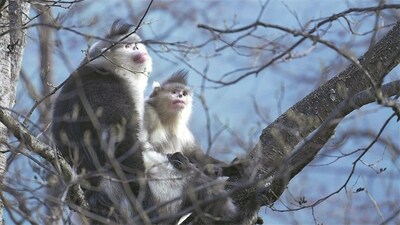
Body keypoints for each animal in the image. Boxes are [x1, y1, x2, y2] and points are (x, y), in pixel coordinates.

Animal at [51, 20, 153, 224]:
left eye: (135, 45)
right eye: (127, 47)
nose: (137, 49)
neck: (110, 69)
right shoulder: (108, 92)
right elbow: (122, 140)